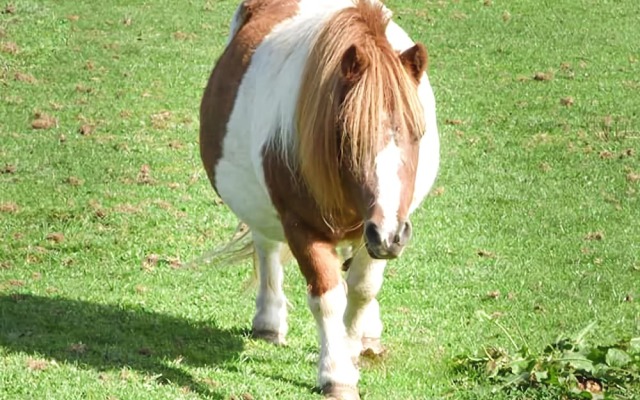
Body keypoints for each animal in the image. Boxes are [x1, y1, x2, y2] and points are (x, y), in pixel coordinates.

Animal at [200, 1, 440, 398]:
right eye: (348, 136)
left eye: (417, 133)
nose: (391, 235)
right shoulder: (303, 226)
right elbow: (327, 298)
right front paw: (337, 374)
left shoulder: (375, 230)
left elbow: (361, 289)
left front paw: (353, 347)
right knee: (267, 248)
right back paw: (268, 321)